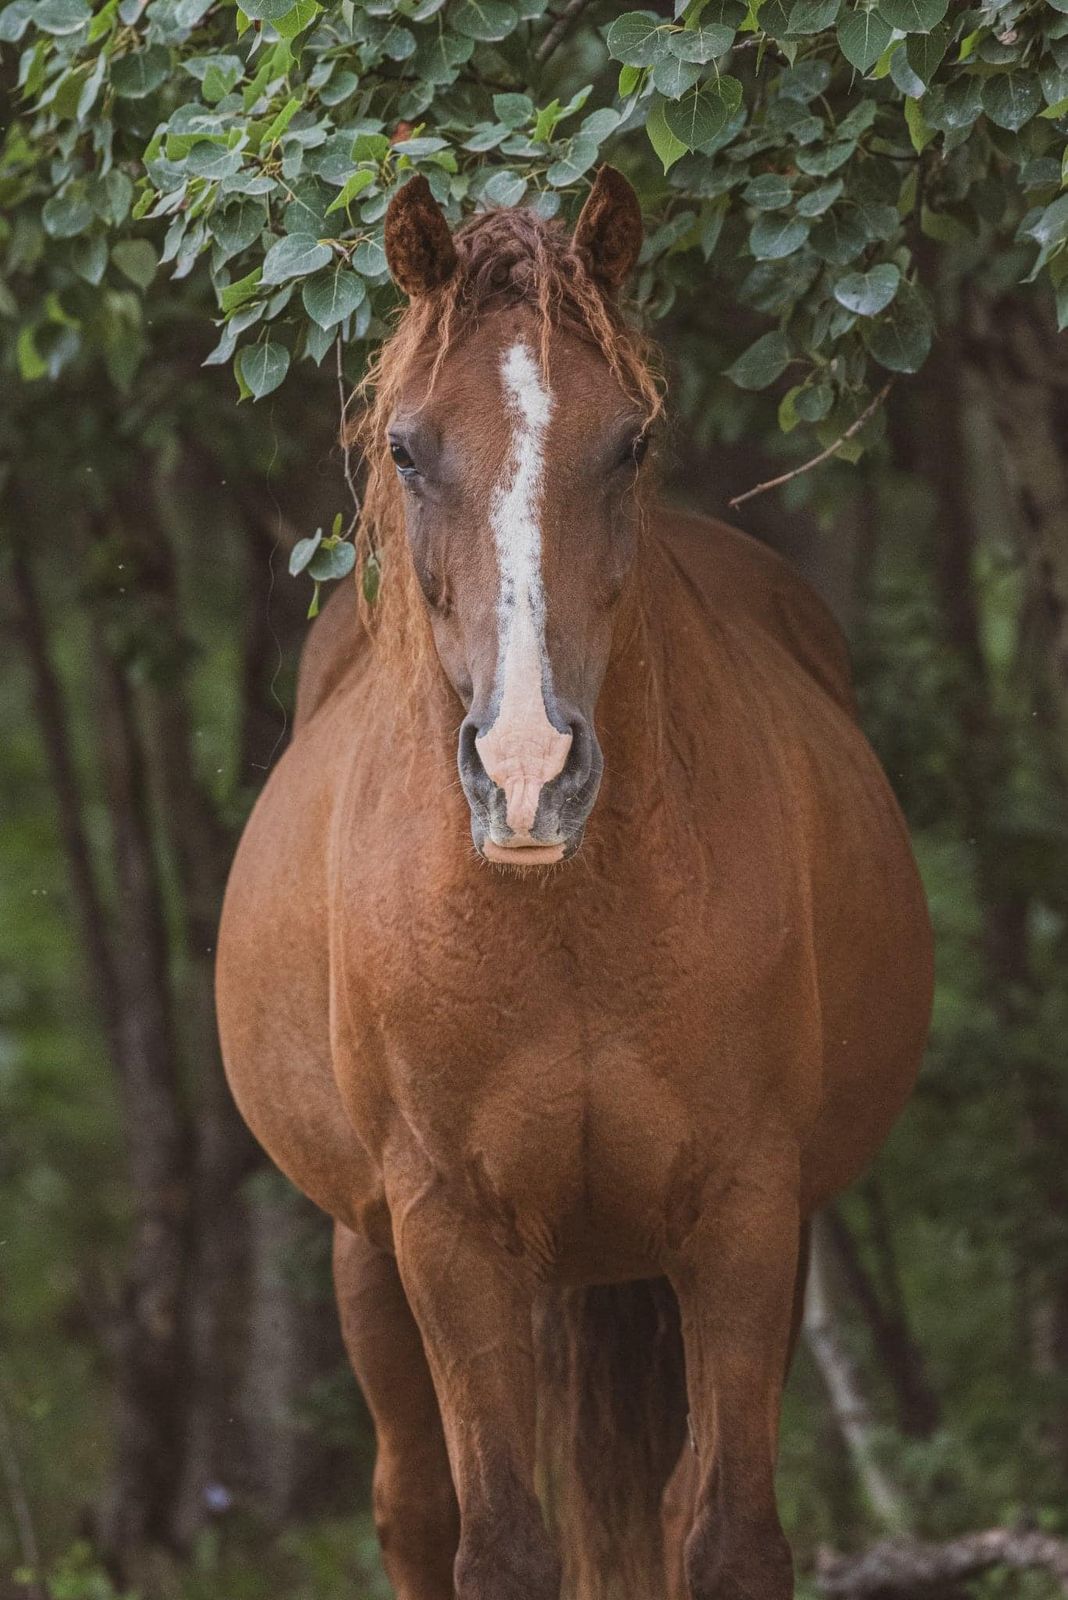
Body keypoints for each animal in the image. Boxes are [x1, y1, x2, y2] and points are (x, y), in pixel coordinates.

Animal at [216, 166, 933, 1600]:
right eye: (407, 448)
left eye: (632, 443)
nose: (528, 767)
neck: (567, 927)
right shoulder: (450, 1232)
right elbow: (496, 1543)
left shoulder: (748, 1214)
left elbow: (724, 1535)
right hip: (369, 1253)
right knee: (413, 1508)